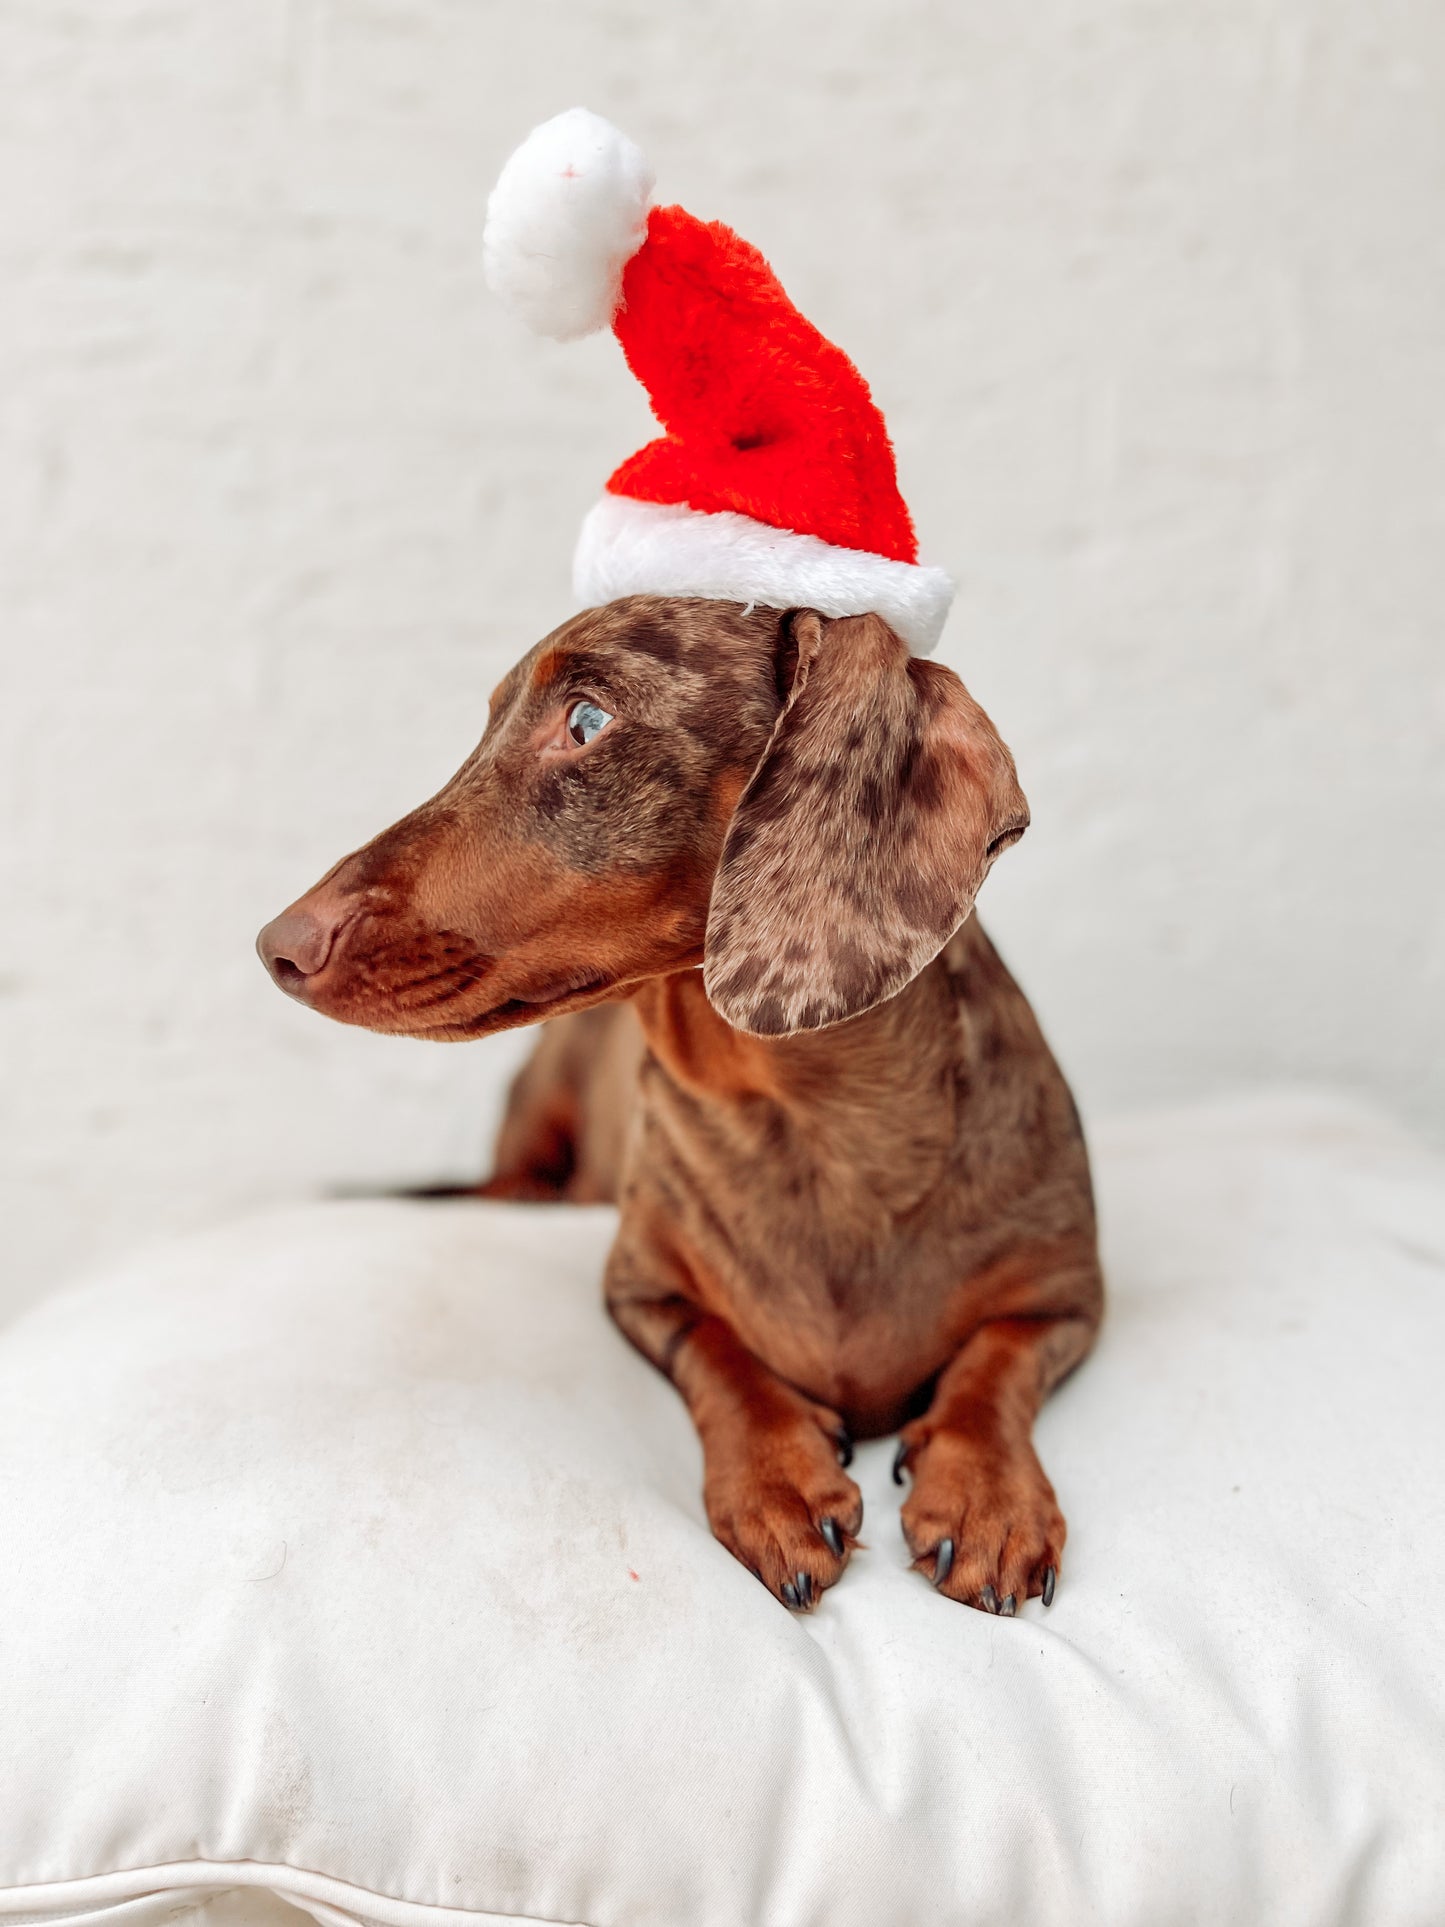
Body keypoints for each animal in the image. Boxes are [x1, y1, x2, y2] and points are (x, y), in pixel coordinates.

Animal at [260, 589, 1102, 1610]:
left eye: (586, 720)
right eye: (486, 721)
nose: (276, 945)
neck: (815, 1129)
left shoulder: (1067, 1301)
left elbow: (993, 1365)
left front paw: (986, 1495)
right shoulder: (639, 1291)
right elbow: (722, 1354)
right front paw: (780, 1481)